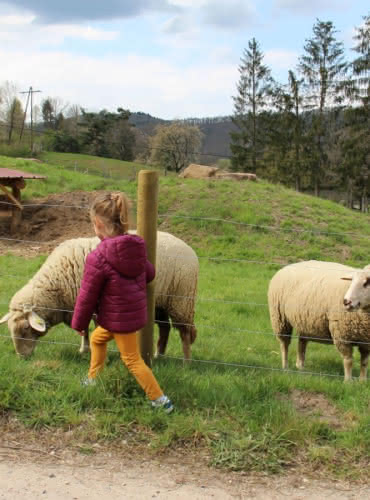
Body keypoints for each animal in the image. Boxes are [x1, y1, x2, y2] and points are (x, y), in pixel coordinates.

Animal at [0, 230, 199, 360]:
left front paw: (98, 354)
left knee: (185, 332)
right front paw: (84, 350)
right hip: (160, 302)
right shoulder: (79, 305)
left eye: (25, 329)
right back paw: (159, 355)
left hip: (182, 299)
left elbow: (93, 329)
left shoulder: (95, 304)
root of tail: (190, 249)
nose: (22, 357)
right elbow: (84, 331)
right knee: (165, 327)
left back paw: (186, 362)